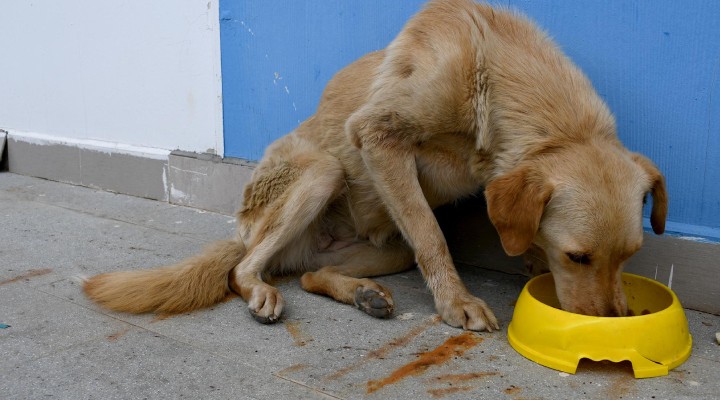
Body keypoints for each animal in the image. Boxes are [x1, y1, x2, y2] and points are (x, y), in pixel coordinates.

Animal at [86, 0, 668, 332]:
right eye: (577, 257)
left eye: (630, 256)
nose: (612, 323)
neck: (489, 68)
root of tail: (247, 234)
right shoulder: (379, 138)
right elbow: (432, 237)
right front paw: (456, 302)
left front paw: (527, 262)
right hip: (321, 175)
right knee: (242, 269)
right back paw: (262, 291)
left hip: (384, 252)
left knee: (312, 274)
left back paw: (361, 295)